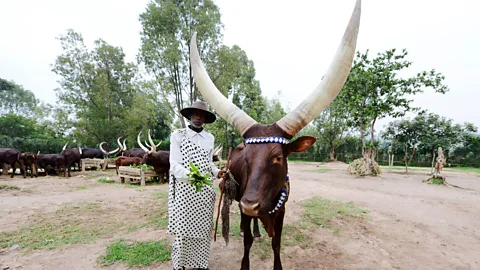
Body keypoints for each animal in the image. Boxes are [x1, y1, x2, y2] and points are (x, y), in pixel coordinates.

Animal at [189, 1, 362, 268]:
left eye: (278, 158)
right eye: (246, 160)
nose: (250, 204)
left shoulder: (282, 211)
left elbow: (277, 244)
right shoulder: (243, 206)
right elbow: (247, 242)